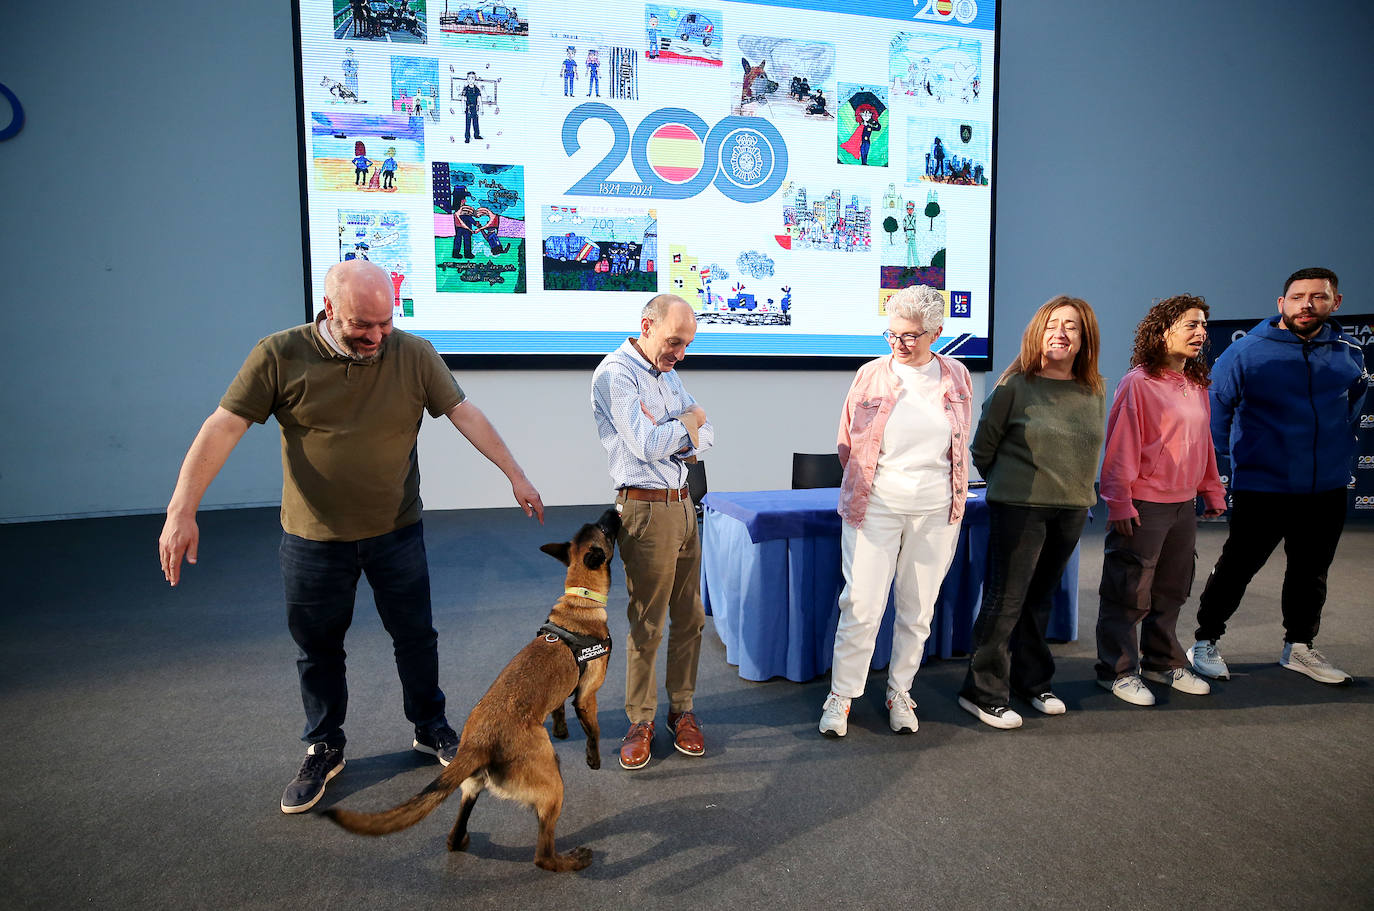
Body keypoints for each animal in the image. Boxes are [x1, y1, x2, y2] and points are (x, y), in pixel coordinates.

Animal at [321, 508, 618, 873]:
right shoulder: (588, 696)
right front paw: (594, 758)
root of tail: (478, 742)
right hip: (552, 785)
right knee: (542, 855)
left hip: (475, 785)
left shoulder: (564, 692)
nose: (614, 510)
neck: (580, 601)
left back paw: (461, 840)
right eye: (605, 528)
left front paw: (561, 728)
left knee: (456, 828)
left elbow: (559, 707)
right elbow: (594, 731)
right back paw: (573, 860)